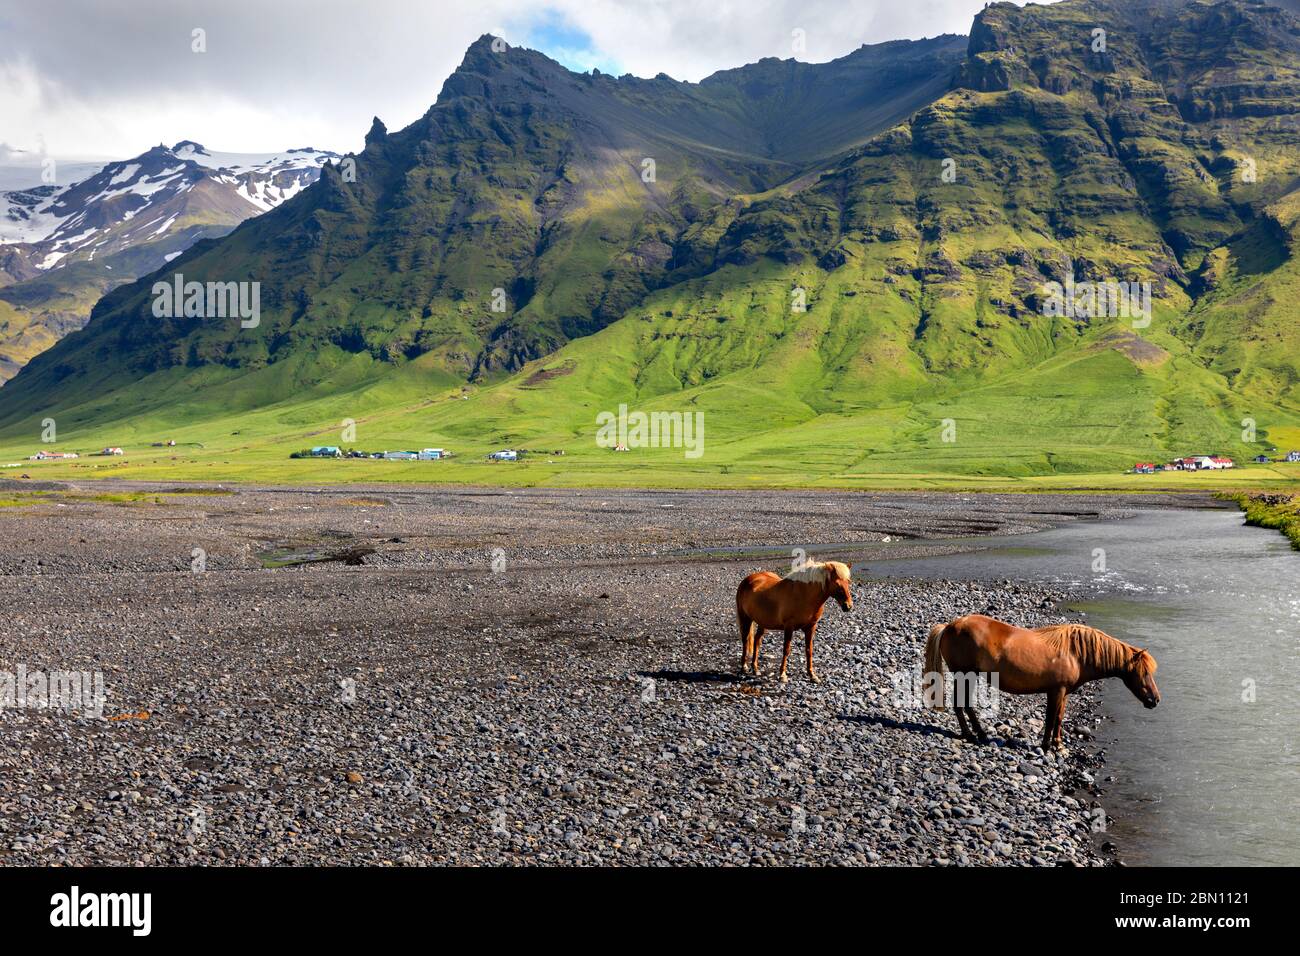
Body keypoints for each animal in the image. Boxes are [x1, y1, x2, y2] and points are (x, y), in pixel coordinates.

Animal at [743, 556, 852, 686]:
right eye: (838, 584)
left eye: (849, 582)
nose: (848, 606)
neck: (805, 595)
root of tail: (750, 578)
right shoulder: (789, 627)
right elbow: (786, 650)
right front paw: (783, 675)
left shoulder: (811, 627)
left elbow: (809, 650)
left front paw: (812, 675)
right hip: (745, 618)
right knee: (745, 640)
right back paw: (744, 666)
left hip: (762, 623)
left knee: (757, 641)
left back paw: (755, 668)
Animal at [920, 616, 1164, 749]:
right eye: (1143, 672)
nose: (1155, 700)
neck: (1076, 653)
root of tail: (950, 626)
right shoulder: (1056, 691)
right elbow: (1050, 718)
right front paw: (1047, 746)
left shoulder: (1063, 693)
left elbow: (1059, 718)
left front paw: (1058, 745)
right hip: (965, 674)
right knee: (961, 705)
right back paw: (971, 735)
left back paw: (979, 734)